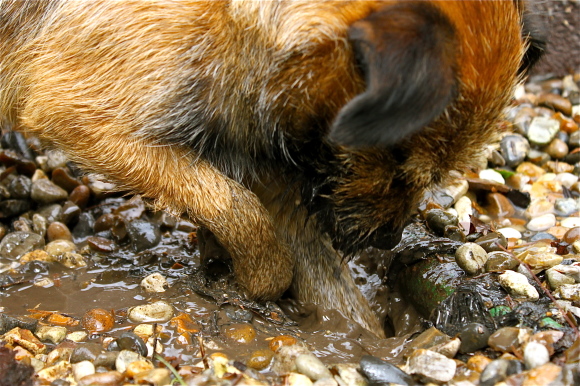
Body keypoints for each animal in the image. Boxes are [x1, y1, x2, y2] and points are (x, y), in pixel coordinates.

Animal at [0, 0, 544, 338]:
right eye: (395, 158)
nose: (390, 239)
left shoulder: (269, 148)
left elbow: (325, 277)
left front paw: (364, 339)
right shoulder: (78, 112)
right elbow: (235, 204)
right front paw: (261, 278)